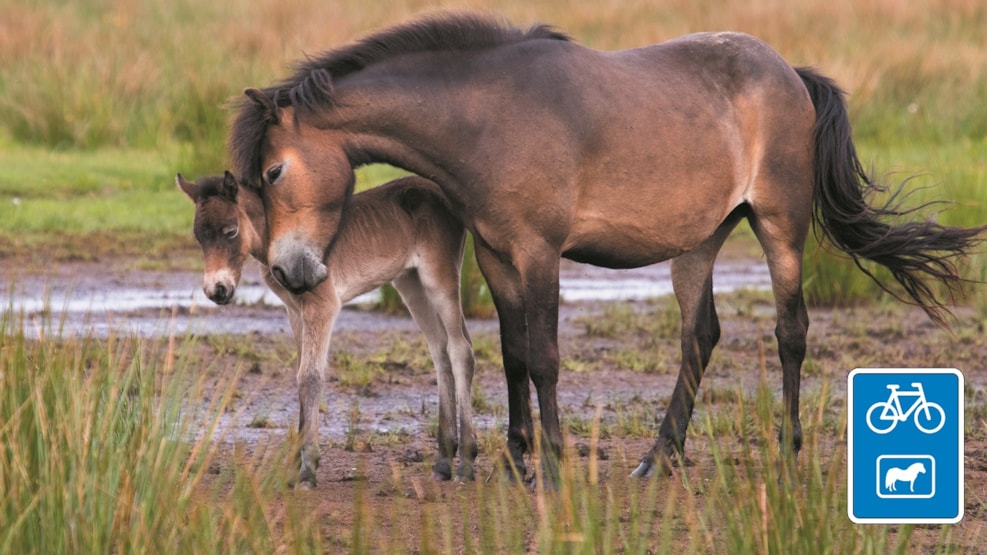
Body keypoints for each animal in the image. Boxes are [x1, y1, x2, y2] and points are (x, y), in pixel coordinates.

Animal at [228, 13, 984, 482]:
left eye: (274, 171)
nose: (291, 272)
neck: (485, 114)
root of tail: (790, 75)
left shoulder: (538, 253)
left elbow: (544, 357)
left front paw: (555, 463)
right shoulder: (496, 255)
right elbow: (510, 355)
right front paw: (515, 460)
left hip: (778, 226)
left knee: (790, 331)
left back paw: (785, 452)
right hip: (698, 241)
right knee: (699, 335)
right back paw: (659, 457)